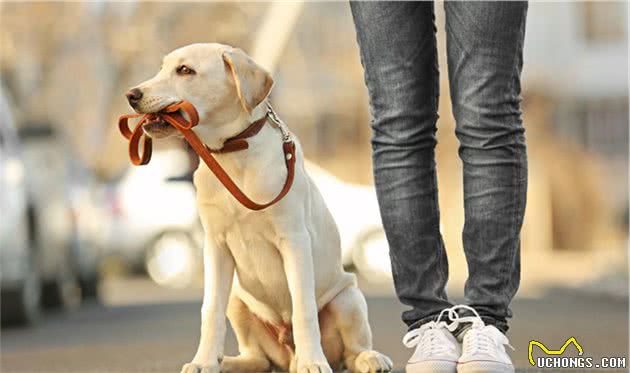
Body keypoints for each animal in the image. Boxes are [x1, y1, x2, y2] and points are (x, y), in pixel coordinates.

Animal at [127, 43, 396, 372]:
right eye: (162, 68)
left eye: (185, 70)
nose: (132, 95)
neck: (233, 153)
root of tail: (288, 356)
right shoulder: (215, 247)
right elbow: (210, 310)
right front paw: (203, 361)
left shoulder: (294, 240)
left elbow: (303, 308)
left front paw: (313, 362)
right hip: (238, 300)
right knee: (258, 360)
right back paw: (228, 362)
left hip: (349, 298)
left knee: (351, 352)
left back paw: (367, 358)